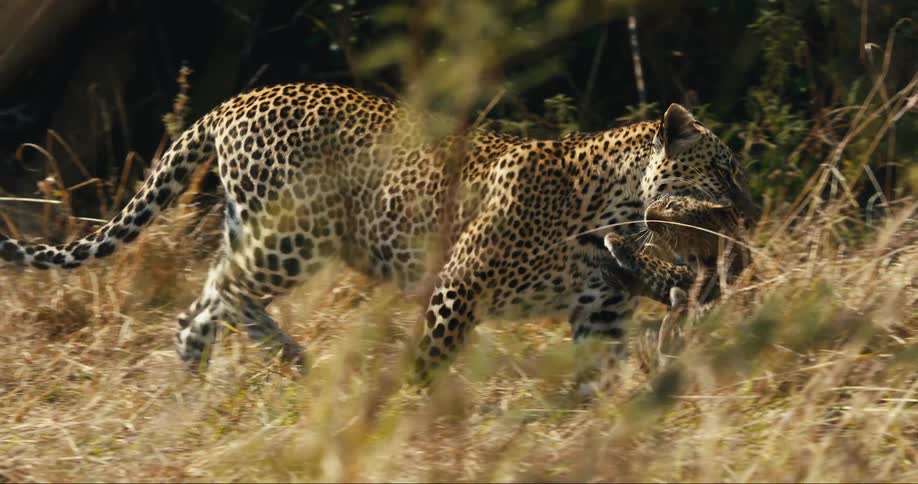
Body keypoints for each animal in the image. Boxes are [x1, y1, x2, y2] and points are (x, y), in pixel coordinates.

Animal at [0, 82, 757, 390]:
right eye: (723, 168)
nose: (750, 212)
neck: (610, 210)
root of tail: (230, 105)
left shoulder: (600, 314)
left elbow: (599, 381)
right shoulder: (458, 283)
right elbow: (430, 358)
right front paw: (408, 414)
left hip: (260, 232)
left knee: (206, 304)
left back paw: (203, 387)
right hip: (294, 236)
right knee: (221, 293)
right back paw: (289, 359)